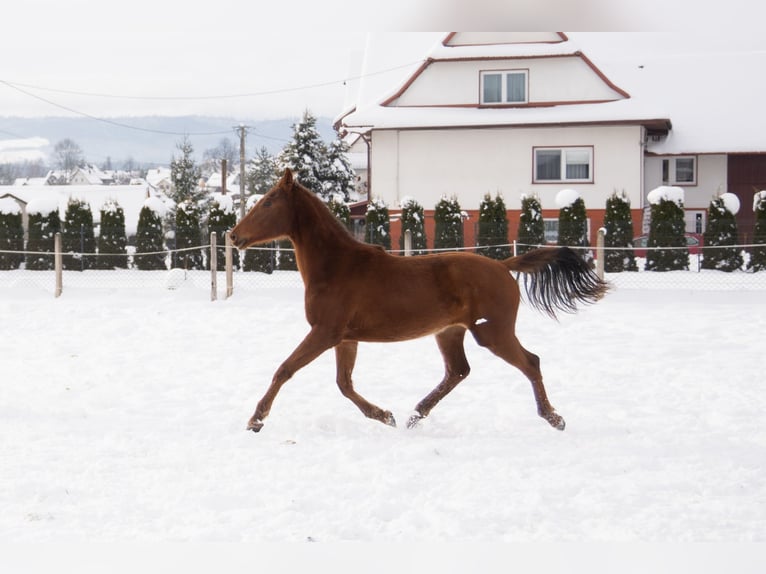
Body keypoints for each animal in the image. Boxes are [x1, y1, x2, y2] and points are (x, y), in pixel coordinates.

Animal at [229, 169, 609, 433]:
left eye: (268, 202)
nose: (234, 236)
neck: (337, 265)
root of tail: (503, 266)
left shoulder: (325, 332)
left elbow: (285, 369)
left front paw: (255, 419)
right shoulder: (345, 338)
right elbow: (344, 384)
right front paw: (385, 416)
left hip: (492, 333)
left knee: (530, 362)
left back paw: (554, 418)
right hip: (450, 332)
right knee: (458, 371)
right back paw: (414, 414)